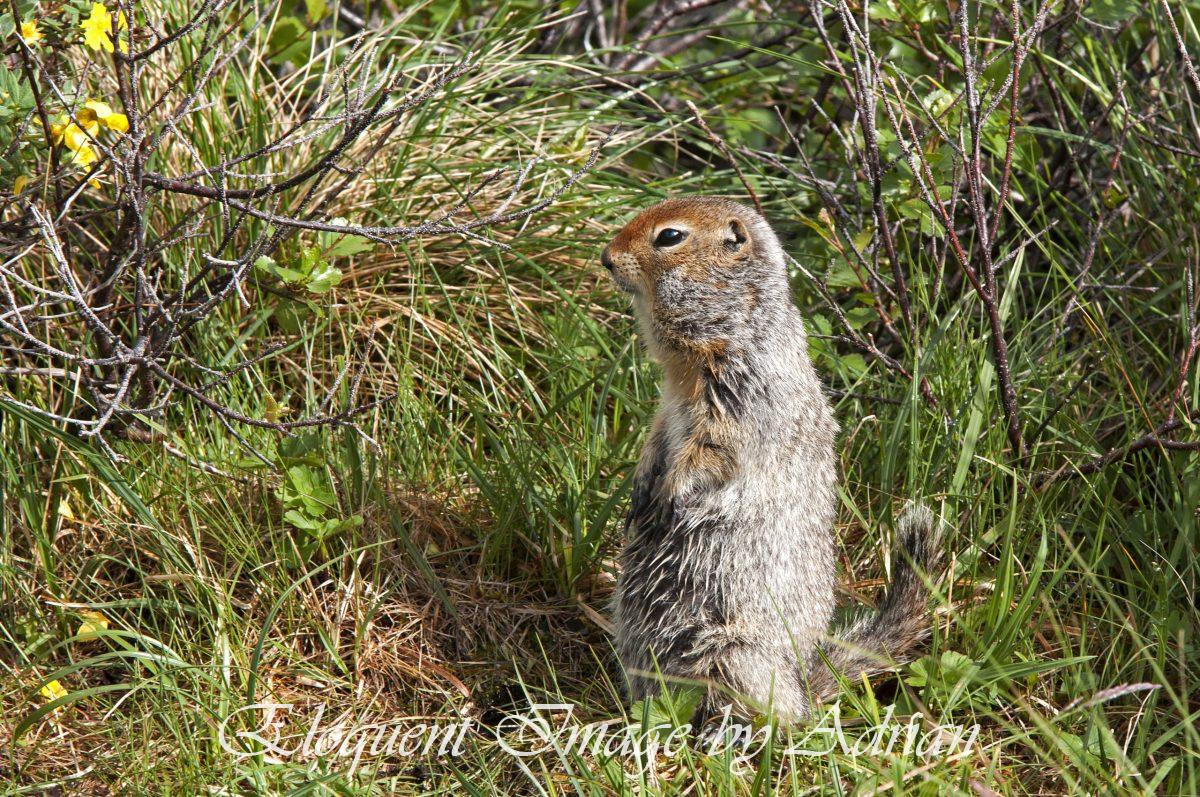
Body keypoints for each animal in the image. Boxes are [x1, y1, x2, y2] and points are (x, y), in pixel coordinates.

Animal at [599, 196, 939, 722]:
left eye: (670, 236)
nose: (606, 257)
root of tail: (802, 693)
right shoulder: (668, 404)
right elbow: (656, 435)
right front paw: (639, 490)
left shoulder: (739, 395)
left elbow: (712, 452)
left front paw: (670, 496)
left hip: (735, 654)